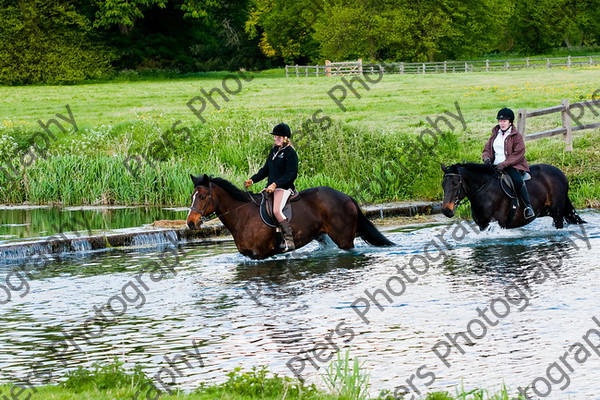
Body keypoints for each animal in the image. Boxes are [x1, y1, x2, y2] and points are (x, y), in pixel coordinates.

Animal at [186, 175, 394, 260]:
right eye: (192, 196)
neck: (242, 215)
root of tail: (346, 197)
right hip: (323, 235)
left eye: (203, 196)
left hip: (344, 240)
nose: (190, 223)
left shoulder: (260, 255)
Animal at [438, 162, 584, 230]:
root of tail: (561, 173)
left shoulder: (495, 224)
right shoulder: (482, 226)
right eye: (443, 184)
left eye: (456, 184)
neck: (484, 191)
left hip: (557, 214)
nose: (446, 211)